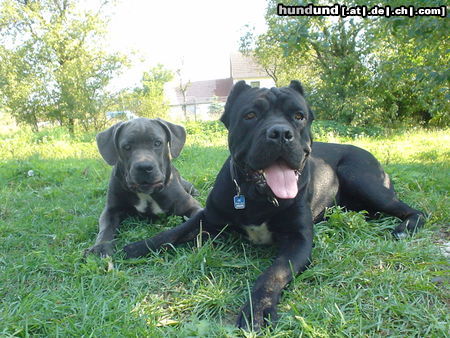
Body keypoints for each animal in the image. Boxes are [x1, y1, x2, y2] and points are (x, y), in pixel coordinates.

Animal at [85, 117, 201, 258]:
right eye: (127, 147)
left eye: (157, 143)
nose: (144, 167)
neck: (146, 192)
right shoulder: (111, 210)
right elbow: (105, 229)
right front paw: (101, 247)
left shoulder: (192, 207)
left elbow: (176, 230)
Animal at [121, 82, 424, 330]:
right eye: (250, 115)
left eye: (299, 116)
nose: (280, 132)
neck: (256, 196)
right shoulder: (209, 219)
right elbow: (172, 233)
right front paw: (135, 247)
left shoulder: (298, 240)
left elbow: (273, 274)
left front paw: (258, 310)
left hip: (362, 178)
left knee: (415, 210)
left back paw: (404, 227)